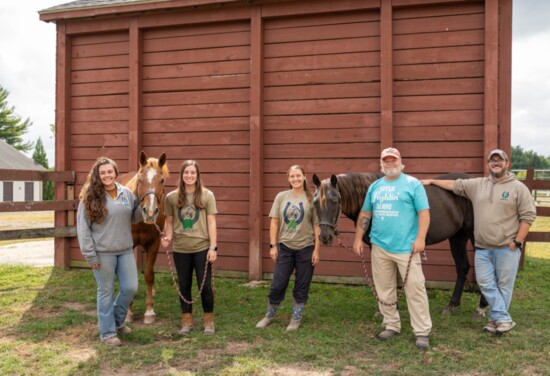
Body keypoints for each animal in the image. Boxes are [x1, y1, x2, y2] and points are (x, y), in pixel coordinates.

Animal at [117, 150, 167, 324]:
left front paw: (149, 311)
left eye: (162, 180)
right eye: (140, 180)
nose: (150, 212)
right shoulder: (129, 245)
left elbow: (149, 275)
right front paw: (128, 313)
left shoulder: (154, 243)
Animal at [312, 173, 490, 318]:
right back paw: (452, 305)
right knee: (463, 267)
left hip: (474, 236)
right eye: (315, 203)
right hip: (457, 237)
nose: (325, 237)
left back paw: (481, 307)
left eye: (335, 201)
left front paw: (389, 309)